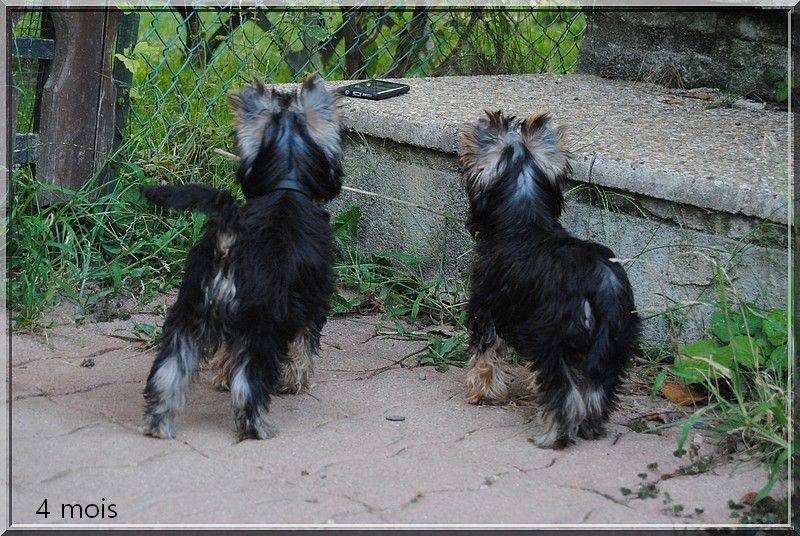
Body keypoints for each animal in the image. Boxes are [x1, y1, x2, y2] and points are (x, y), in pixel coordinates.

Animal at [142, 74, 342, 440]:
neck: (287, 185)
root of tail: (227, 244)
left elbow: (225, 353)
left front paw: (221, 376)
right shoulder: (313, 301)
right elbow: (304, 345)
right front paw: (296, 381)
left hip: (188, 315)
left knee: (169, 370)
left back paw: (158, 423)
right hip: (259, 326)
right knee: (249, 383)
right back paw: (256, 426)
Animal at [460, 110, 640, 448]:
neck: (525, 216)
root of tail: (604, 288)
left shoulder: (487, 304)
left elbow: (486, 353)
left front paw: (483, 391)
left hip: (553, 333)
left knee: (563, 391)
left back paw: (552, 434)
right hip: (616, 340)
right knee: (597, 387)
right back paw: (590, 426)